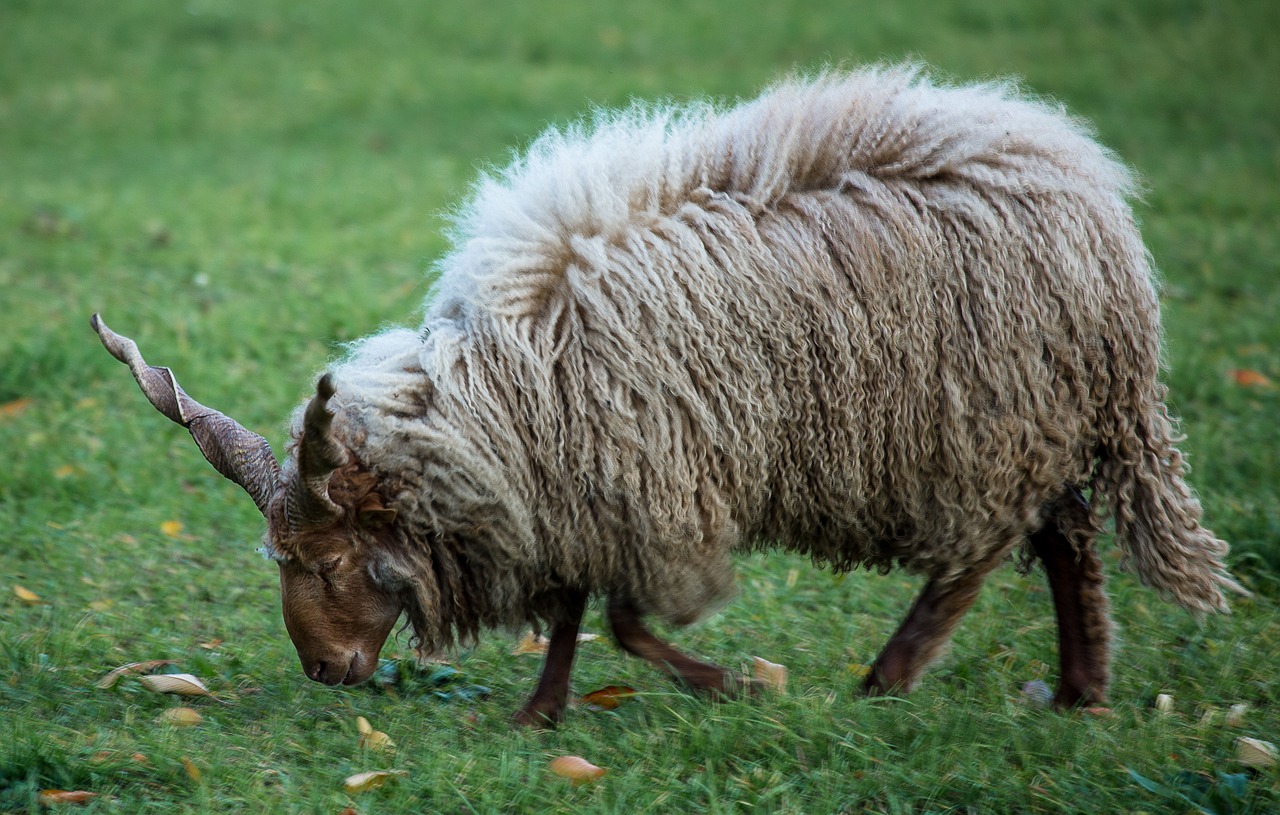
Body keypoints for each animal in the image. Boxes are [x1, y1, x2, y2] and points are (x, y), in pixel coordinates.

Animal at [94, 65, 1244, 726]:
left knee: (981, 552)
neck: (506, 397)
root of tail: (1088, 189)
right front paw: (542, 712)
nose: (326, 671)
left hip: (985, 426)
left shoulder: (649, 477)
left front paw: (723, 683)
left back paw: (892, 675)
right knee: (1068, 538)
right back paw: (1080, 689)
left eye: (328, 559)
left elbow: (626, 620)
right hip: (1028, 422)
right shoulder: (577, 486)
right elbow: (574, 608)